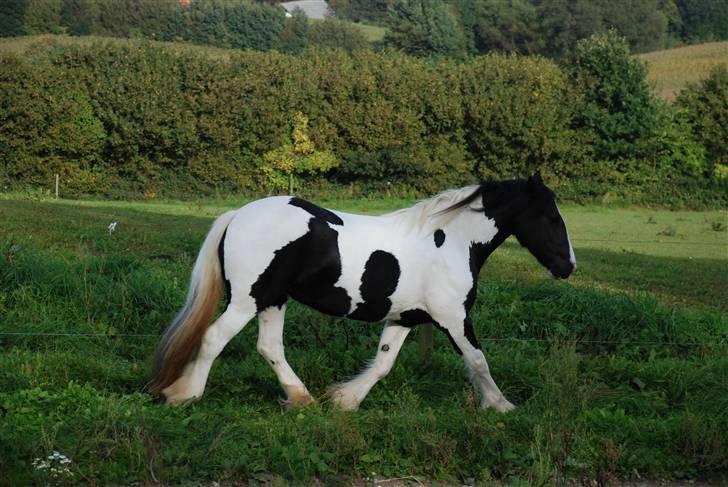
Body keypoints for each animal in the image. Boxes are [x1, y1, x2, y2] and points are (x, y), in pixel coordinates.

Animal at [151, 174, 576, 412]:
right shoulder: (453, 319)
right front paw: (501, 406)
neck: (451, 242)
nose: (568, 266)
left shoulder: (405, 318)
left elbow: (384, 363)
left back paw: (303, 398)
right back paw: (186, 395)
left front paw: (345, 401)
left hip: (272, 299)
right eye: (551, 217)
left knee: (269, 347)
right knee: (213, 338)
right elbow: (478, 361)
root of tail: (237, 215)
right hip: (247, 300)